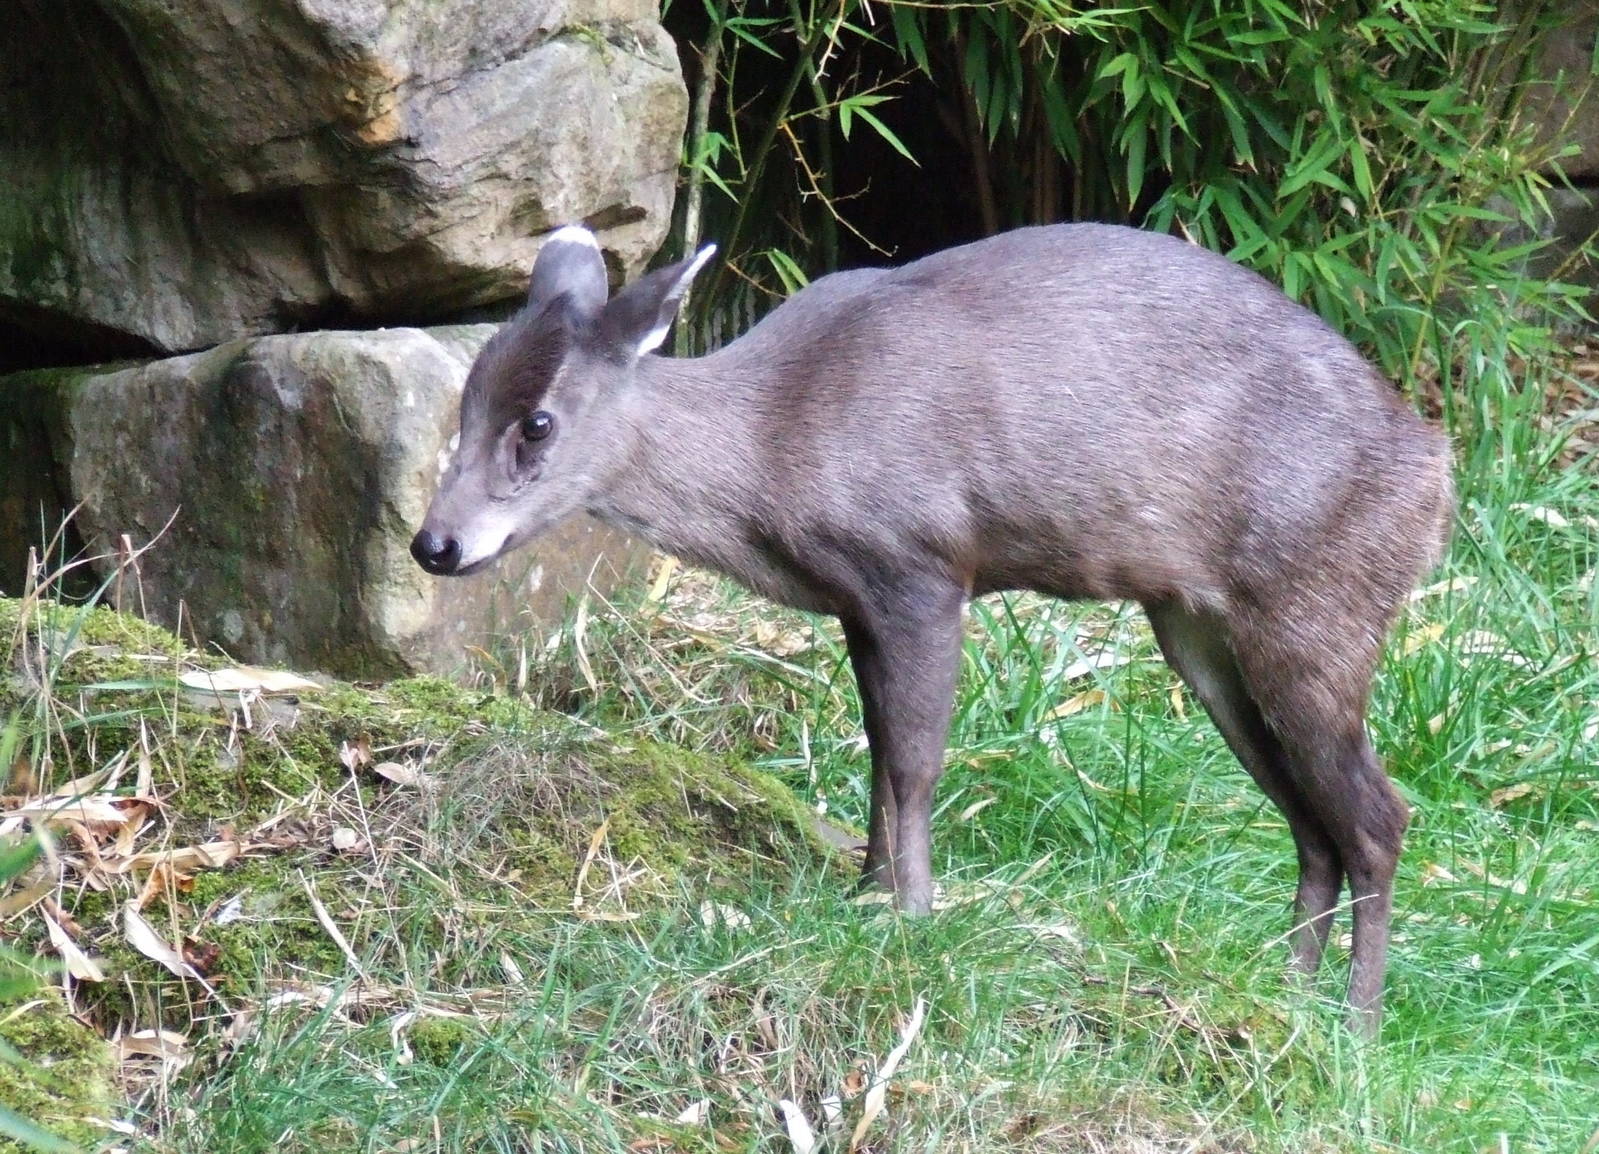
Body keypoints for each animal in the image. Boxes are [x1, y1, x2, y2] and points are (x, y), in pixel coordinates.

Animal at [411, 222, 1453, 1033]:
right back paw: (1289, 994)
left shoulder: (920, 565)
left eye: (537, 423)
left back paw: (1355, 1026)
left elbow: (914, 761)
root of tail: (1434, 475)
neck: (776, 447)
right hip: (1199, 631)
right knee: (1311, 819)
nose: (434, 543)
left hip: (1319, 608)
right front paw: (866, 892)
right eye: (463, 404)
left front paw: (913, 914)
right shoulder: (855, 601)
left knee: (1378, 813)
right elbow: (877, 749)